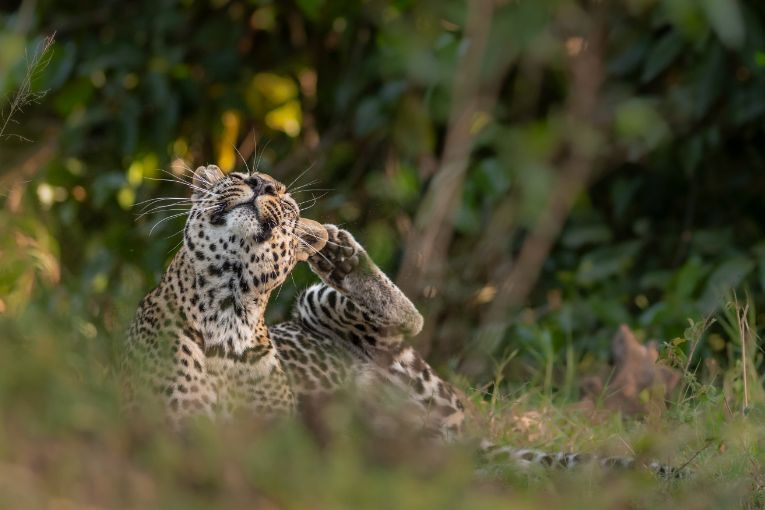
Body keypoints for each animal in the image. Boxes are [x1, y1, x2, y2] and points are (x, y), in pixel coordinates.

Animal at [127, 164, 688, 478]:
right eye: (240, 178)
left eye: (283, 197)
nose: (263, 184)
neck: (228, 311)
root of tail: (454, 438)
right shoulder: (176, 428)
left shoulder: (273, 432)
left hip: (322, 307)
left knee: (407, 322)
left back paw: (340, 254)